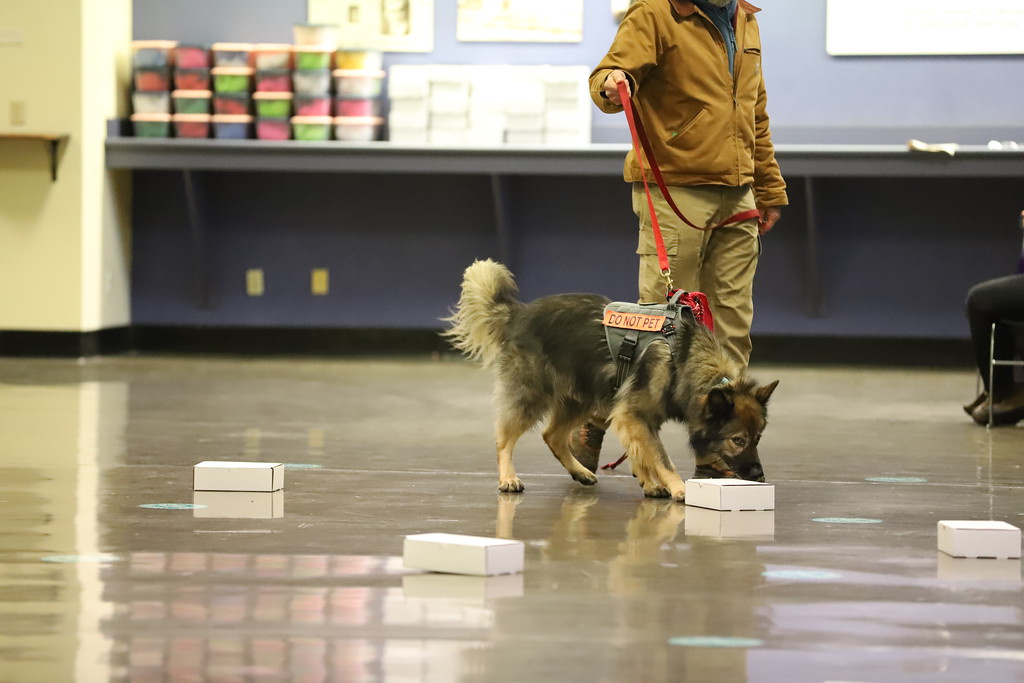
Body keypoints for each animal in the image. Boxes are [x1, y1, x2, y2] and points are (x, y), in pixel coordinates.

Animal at [443, 259, 778, 502]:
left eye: (759, 438)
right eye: (738, 440)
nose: (759, 476)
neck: (682, 357)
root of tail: (520, 312)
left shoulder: (633, 416)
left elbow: (642, 452)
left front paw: (648, 482)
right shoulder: (634, 414)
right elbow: (661, 456)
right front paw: (677, 486)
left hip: (581, 398)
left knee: (553, 436)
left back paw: (580, 472)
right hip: (532, 396)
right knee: (504, 438)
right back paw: (508, 477)